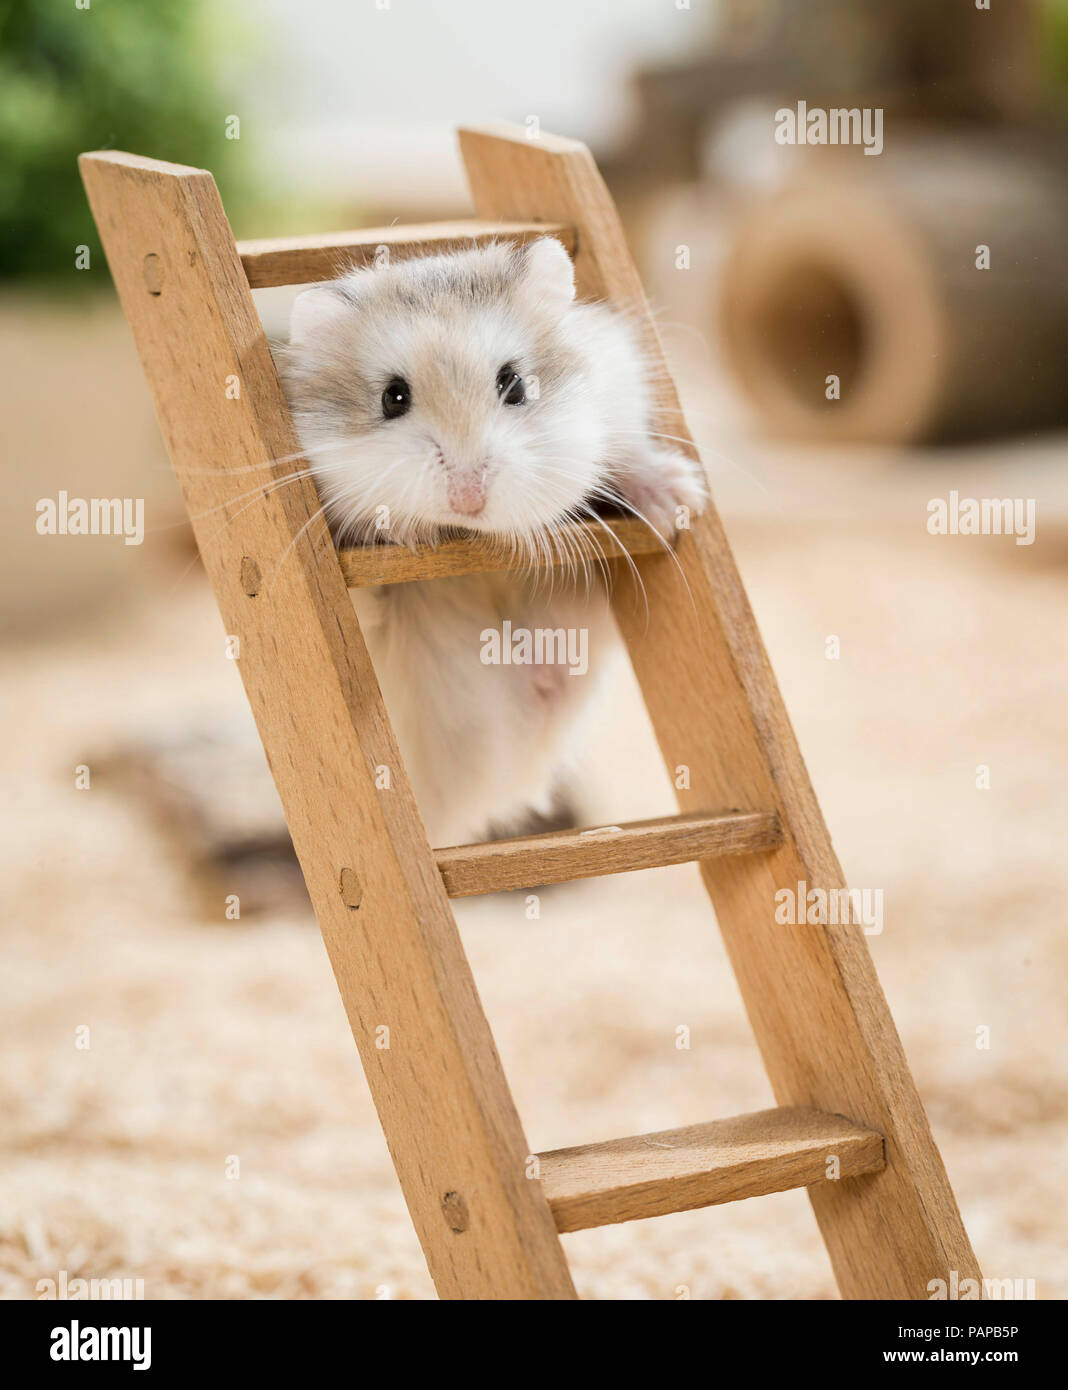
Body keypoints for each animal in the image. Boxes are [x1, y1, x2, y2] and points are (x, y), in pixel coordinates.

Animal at [280, 237, 705, 847]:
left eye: (515, 384)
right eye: (392, 398)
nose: (468, 497)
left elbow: (625, 452)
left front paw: (679, 500)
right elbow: (369, 599)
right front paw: (395, 531)